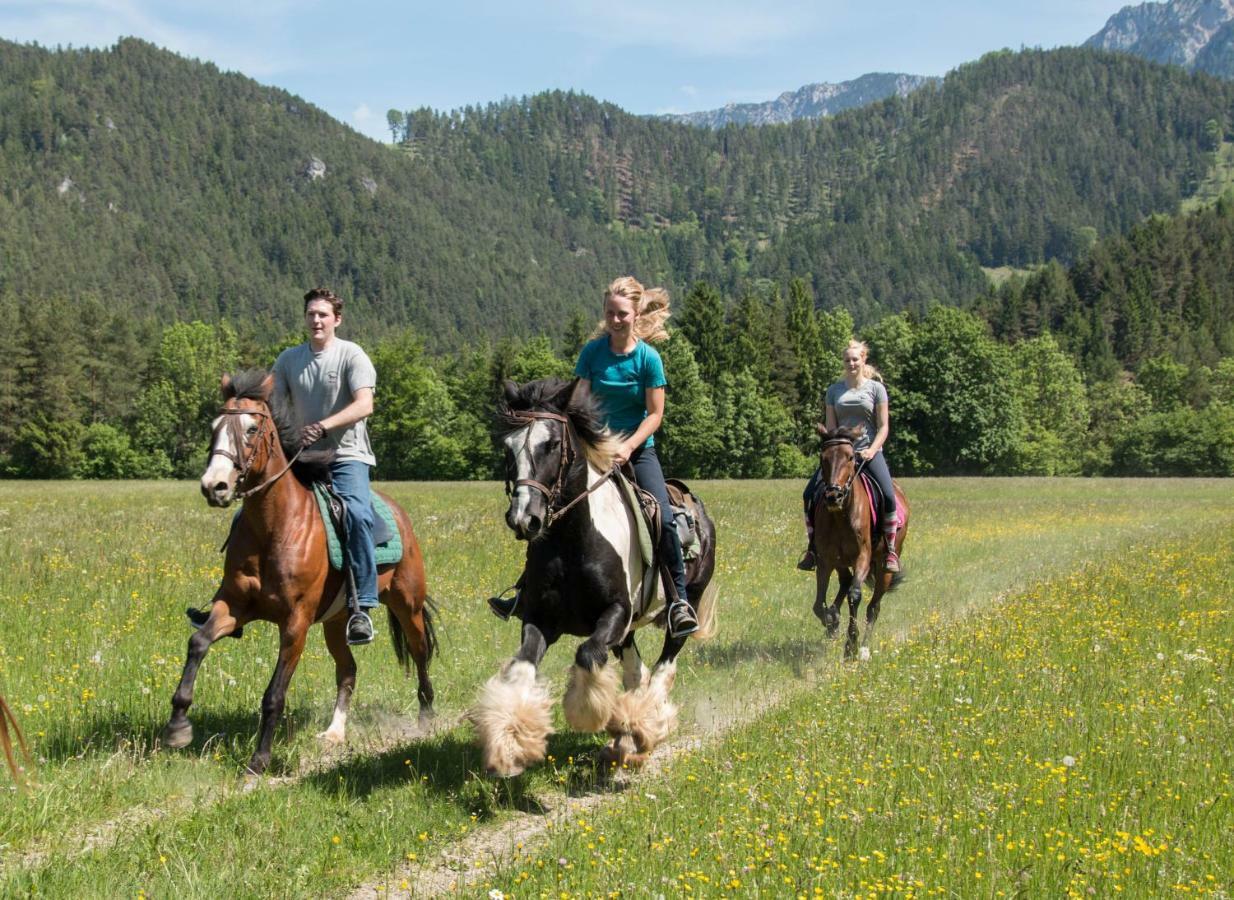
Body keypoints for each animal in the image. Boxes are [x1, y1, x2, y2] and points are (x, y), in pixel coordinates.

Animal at [161, 367, 436, 775]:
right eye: (214, 428)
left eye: (251, 429)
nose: (215, 486)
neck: (275, 527)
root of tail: (399, 515)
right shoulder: (234, 606)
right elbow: (197, 643)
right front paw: (178, 726)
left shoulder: (295, 623)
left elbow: (274, 694)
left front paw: (259, 760)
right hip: (337, 623)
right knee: (348, 670)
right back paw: (335, 733)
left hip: (407, 605)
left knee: (420, 654)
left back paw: (426, 717)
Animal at [471, 375, 720, 775]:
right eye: (508, 448)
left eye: (552, 444)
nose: (524, 518)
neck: (572, 542)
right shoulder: (541, 618)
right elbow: (522, 667)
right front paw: (510, 742)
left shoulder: (615, 613)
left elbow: (587, 654)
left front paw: (586, 712)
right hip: (627, 631)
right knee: (637, 673)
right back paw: (624, 741)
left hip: (684, 604)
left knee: (663, 667)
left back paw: (640, 728)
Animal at [809, 424, 908, 656]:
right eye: (822, 457)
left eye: (850, 457)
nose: (833, 496)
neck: (841, 515)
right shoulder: (826, 559)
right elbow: (818, 604)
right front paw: (832, 623)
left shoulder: (862, 556)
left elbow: (855, 596)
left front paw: (850, 645)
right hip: (841, 561)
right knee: (845, 582)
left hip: (883, 567)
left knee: (873, 606)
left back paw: (863, 648)